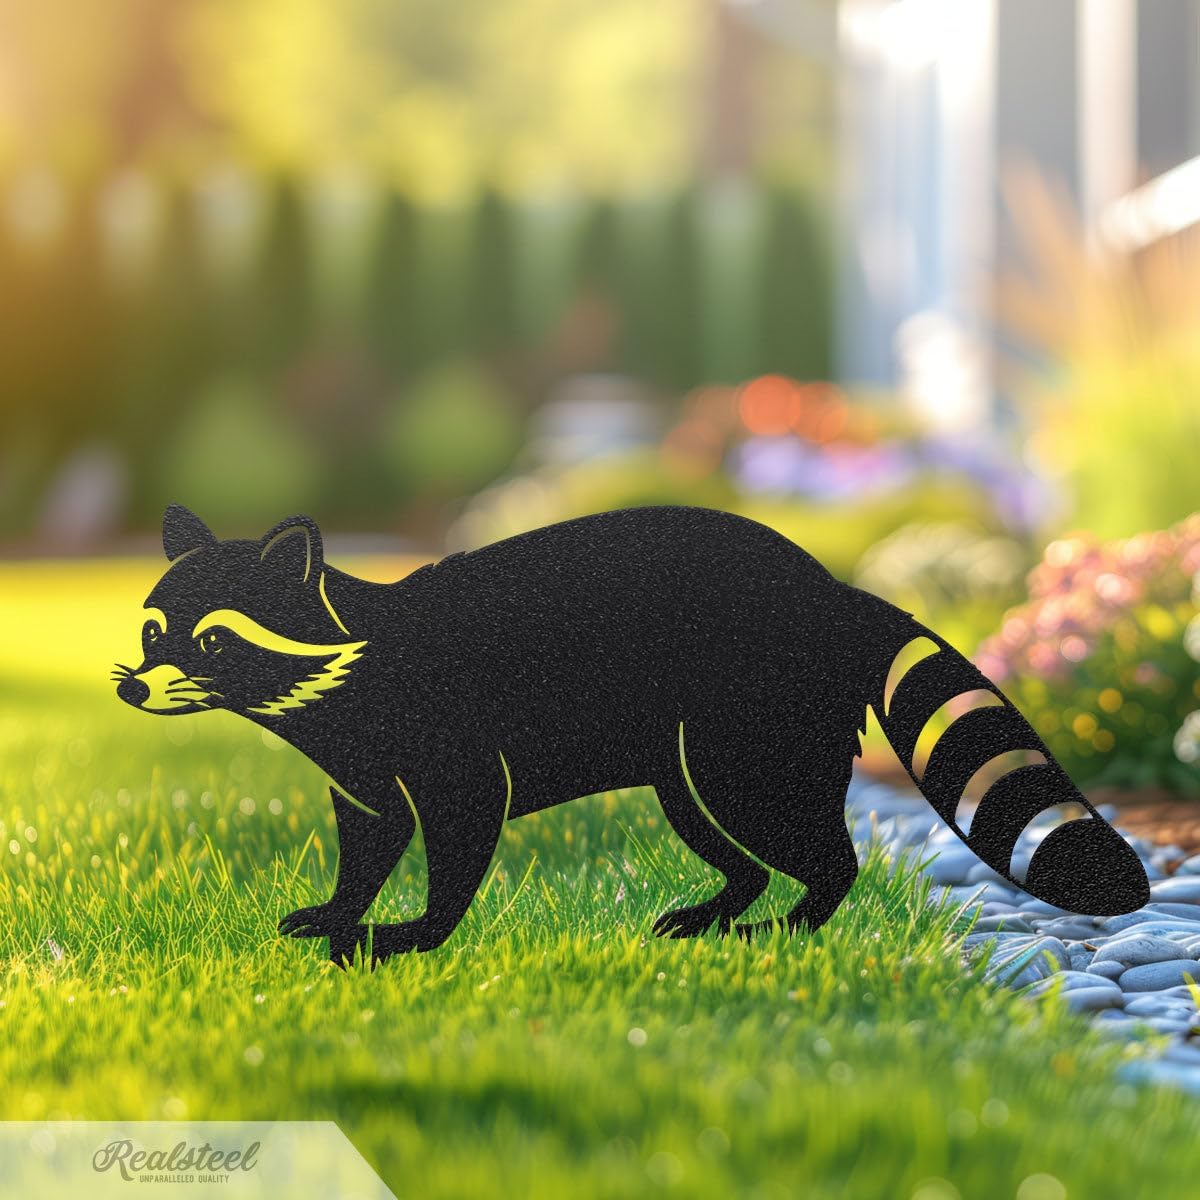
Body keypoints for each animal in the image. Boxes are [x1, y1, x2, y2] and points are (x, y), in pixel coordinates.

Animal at [115, 504, 1148, 964]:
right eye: (154, 632)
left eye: (214, 640)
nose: (132, 684)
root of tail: (827, 585)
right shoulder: (361, 772)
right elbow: (369, 841)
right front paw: (342, 909)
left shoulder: (452, 748)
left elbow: (457, 838)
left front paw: (413, 933)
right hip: (684, 759)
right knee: (723, 837)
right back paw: (725, 904)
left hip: (744, 730)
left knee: (811, 845)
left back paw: (790, 920)